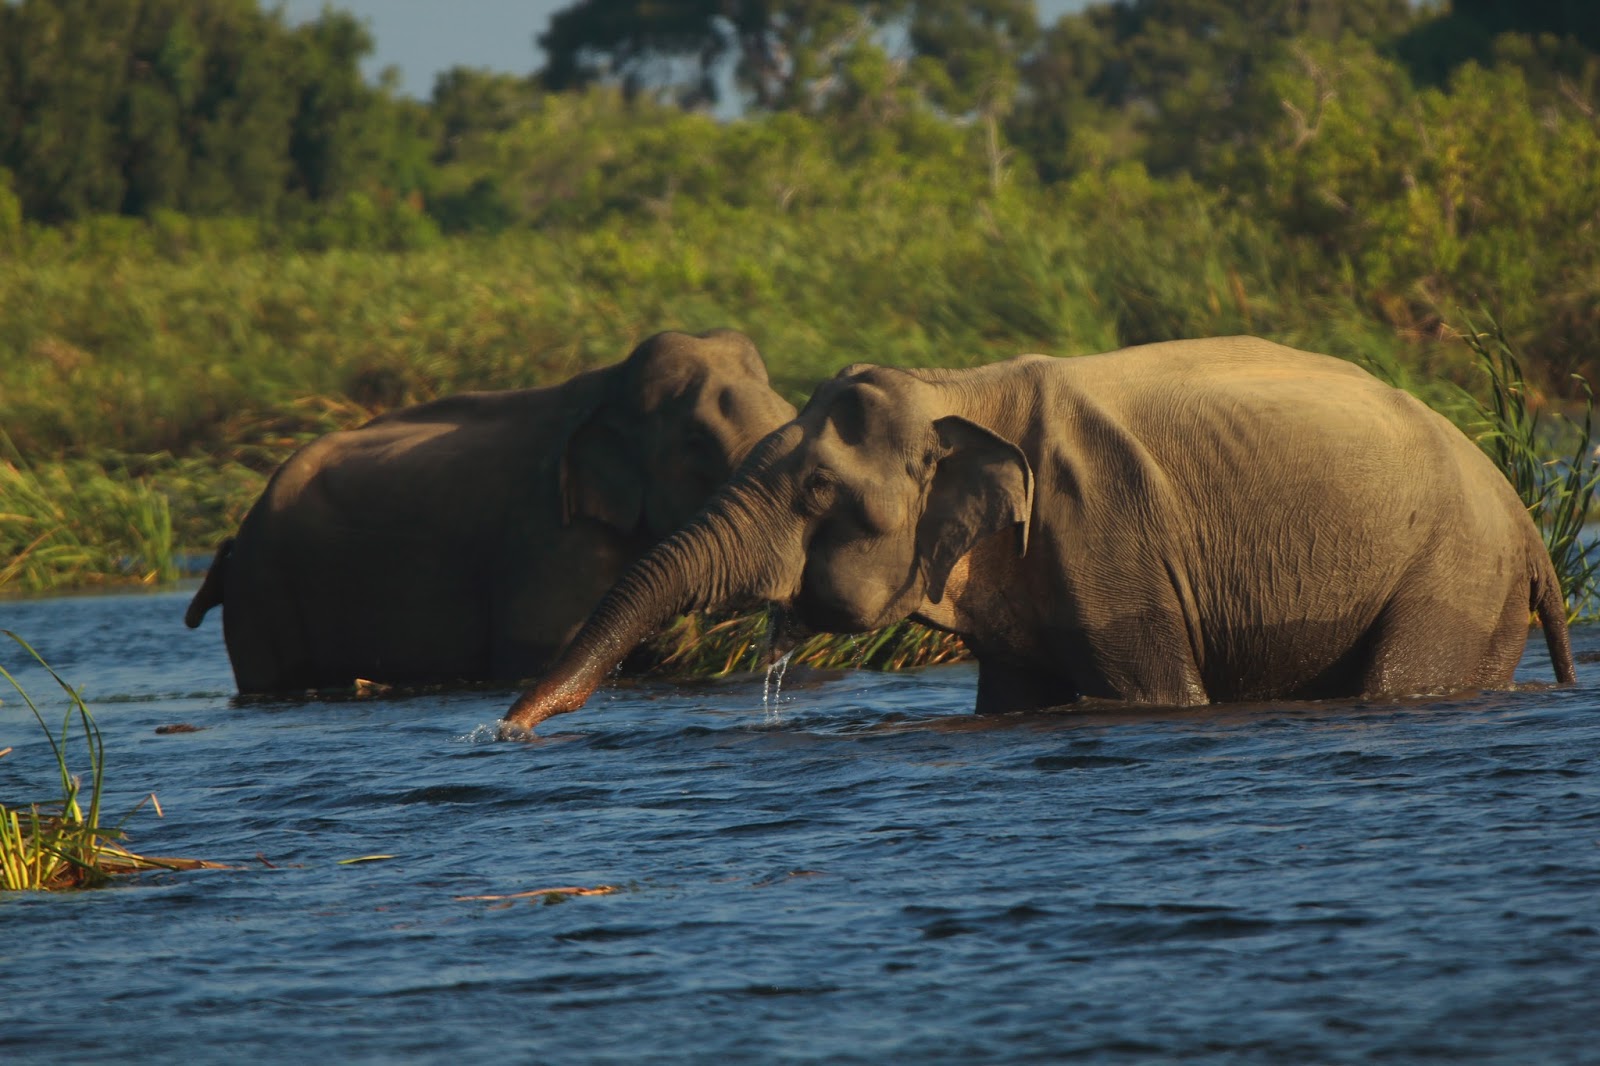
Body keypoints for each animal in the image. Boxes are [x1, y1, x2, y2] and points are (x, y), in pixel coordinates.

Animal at [502, 334, 1574, 729]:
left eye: (815, 489)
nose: (508, 729)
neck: (960, 389)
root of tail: (1529, 527)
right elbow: (1013, 695)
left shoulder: (1109, 534)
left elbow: (1157, 692)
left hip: (1453, 575)